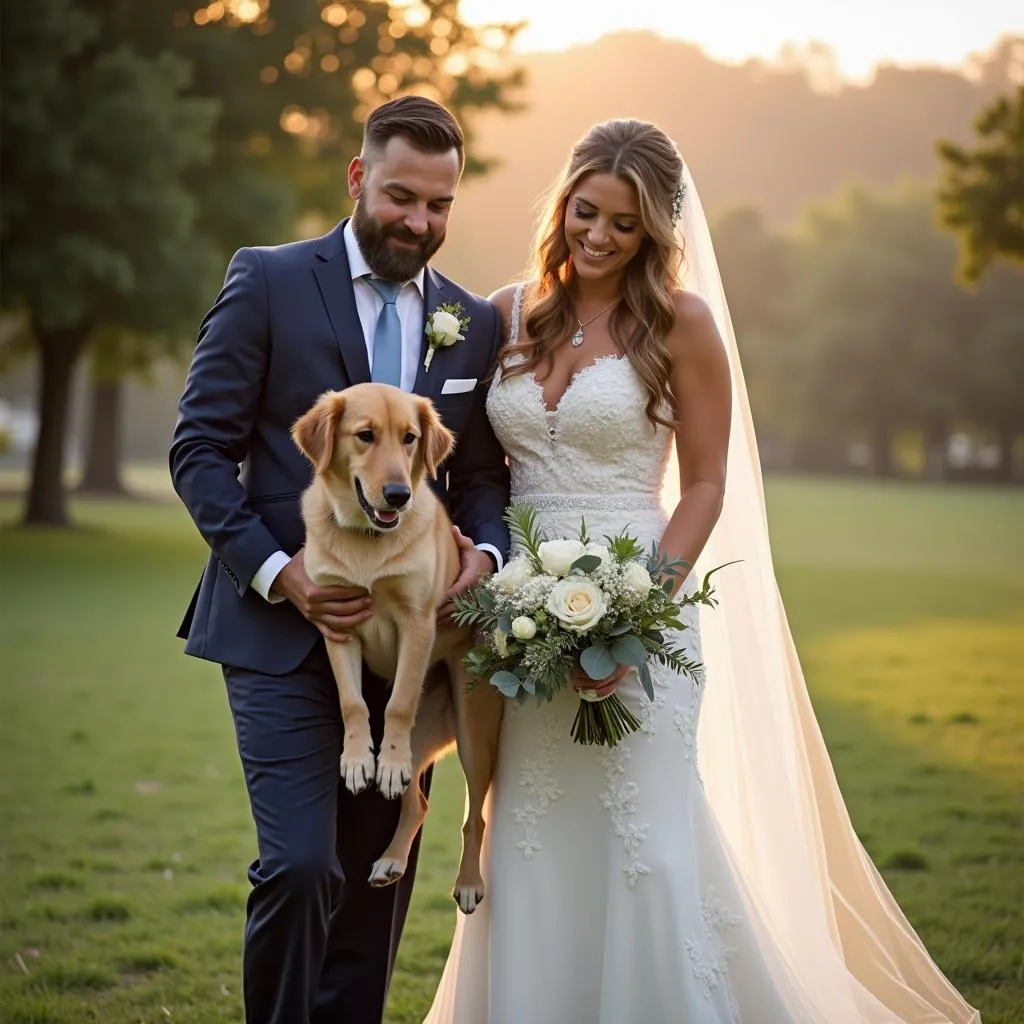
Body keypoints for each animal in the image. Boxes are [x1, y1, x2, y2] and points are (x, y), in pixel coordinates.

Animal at [290, 382, 501, 913]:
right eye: (365, 435)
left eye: (410, 438)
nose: (399, 495)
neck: (368, 541)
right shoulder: (336, 624)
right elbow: (353, 703)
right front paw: (357, 759)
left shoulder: (418, 624)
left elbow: (398, 704)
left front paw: (378, 762)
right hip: (424, 738)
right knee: (416, 798)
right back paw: (390, 859)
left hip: (473, 736)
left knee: (475, 814)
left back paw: (469, 883)